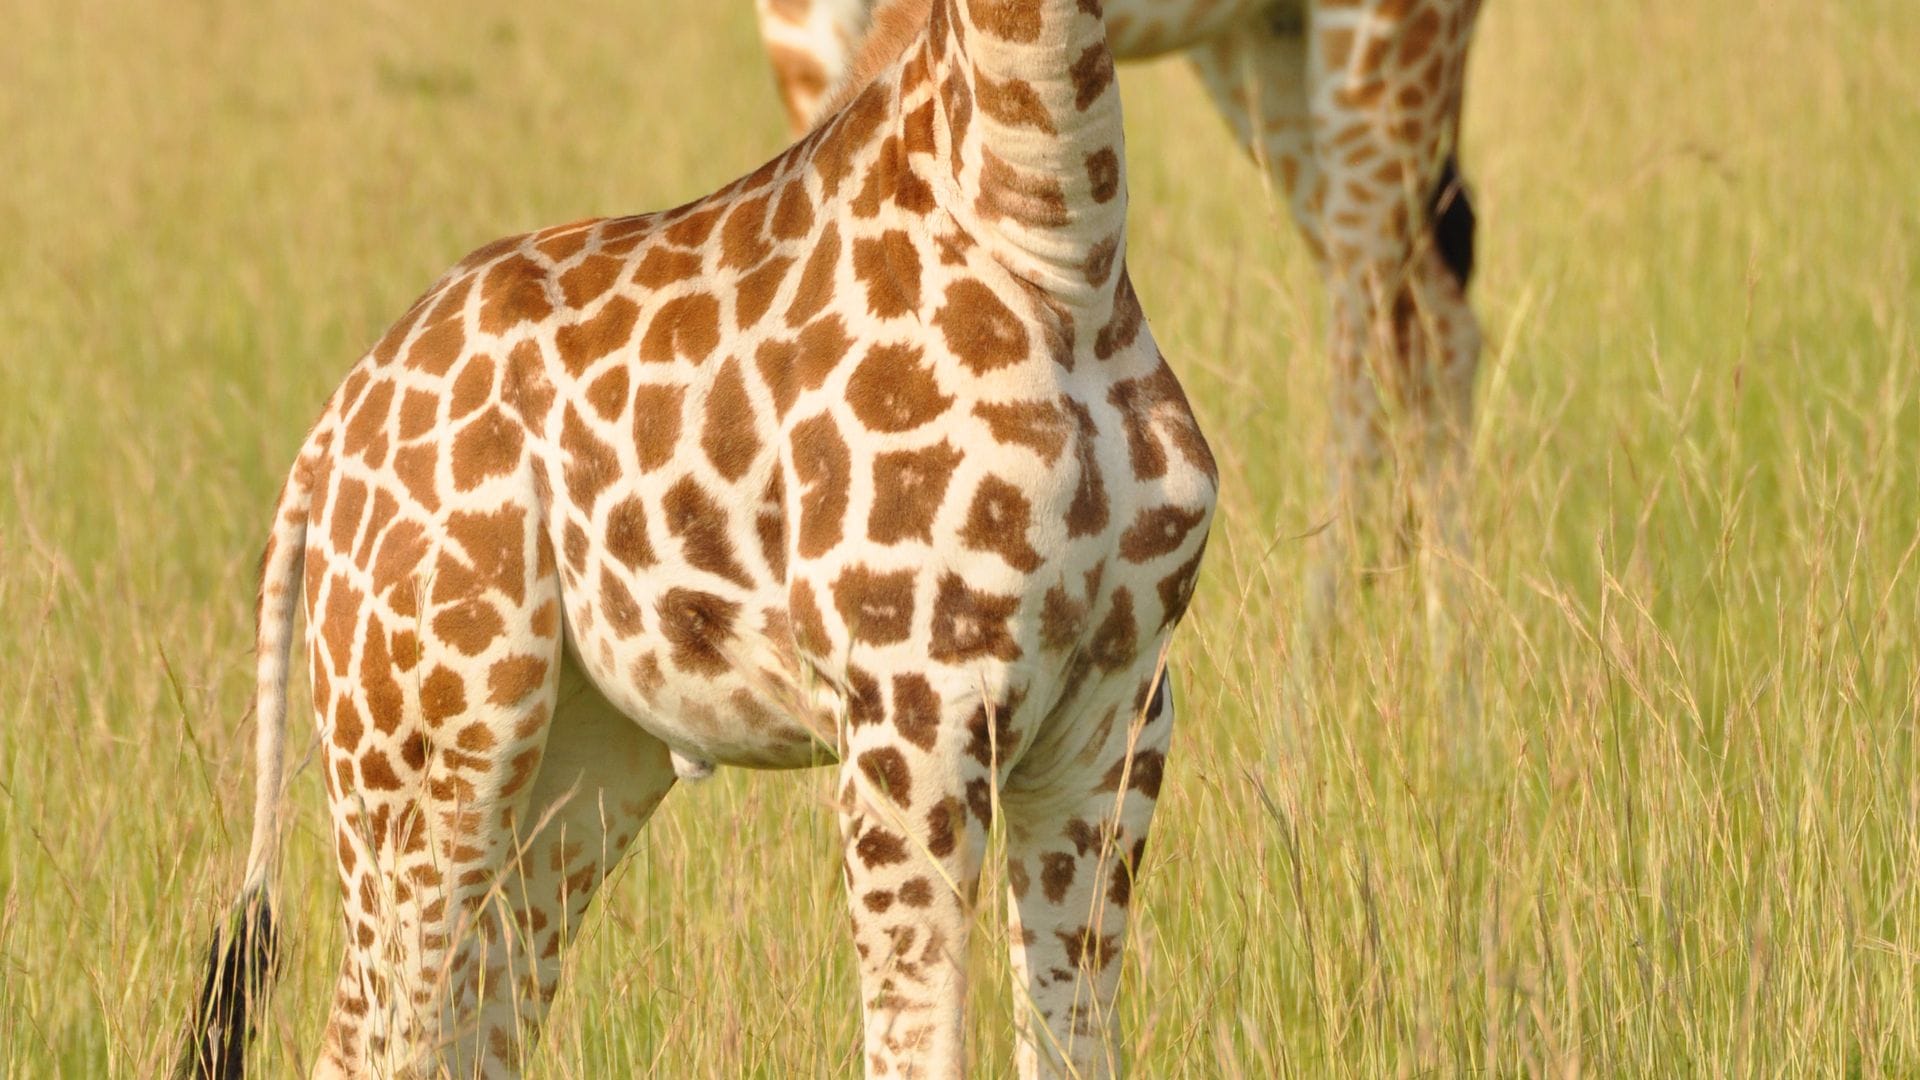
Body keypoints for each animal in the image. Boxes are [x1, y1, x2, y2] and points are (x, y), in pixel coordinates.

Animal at [180, 0, 1216, 1076]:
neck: (1056, 244)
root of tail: (328, 437)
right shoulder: (911, 716)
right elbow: (917, 1043)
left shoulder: (1117, 714)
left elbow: (1071, 1041)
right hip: (421, 750)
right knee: (369, 1039)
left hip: (573, 770)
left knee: (476, 1025)